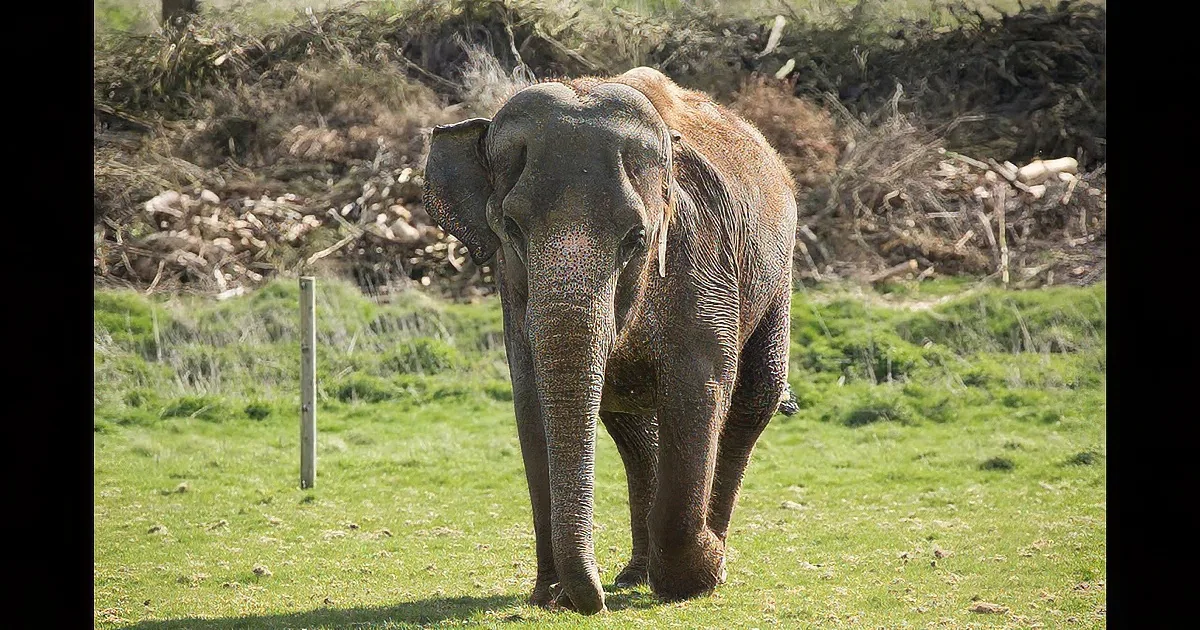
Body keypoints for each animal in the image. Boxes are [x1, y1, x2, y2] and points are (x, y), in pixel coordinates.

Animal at [422, 67, 798, 614]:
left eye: (636, 239)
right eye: (510, 228)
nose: (591, 600)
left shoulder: (703, 266)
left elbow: (701, 387)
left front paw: (695, 578)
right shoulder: (512, 291)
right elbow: (530, 400)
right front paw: (550, 595)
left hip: (778, 278)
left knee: (754, 397)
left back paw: (710, 560)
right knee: (633, 429)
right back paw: (637, 573)